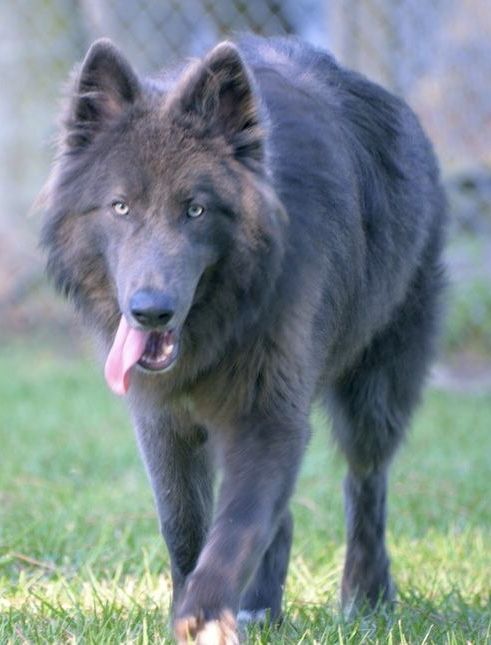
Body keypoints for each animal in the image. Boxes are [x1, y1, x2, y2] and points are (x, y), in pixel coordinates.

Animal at [40, 36, 448, 644]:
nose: (151, 312)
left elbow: (236, 528)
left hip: (376, 392)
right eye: (120, 206)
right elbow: (187, 527)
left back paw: (368, 596)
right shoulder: (163, 424)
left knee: (366, 484)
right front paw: (194, 609)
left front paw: (207, 615)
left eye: (196, 209)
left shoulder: (267, 417)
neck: (221, 325)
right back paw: (264, 608)